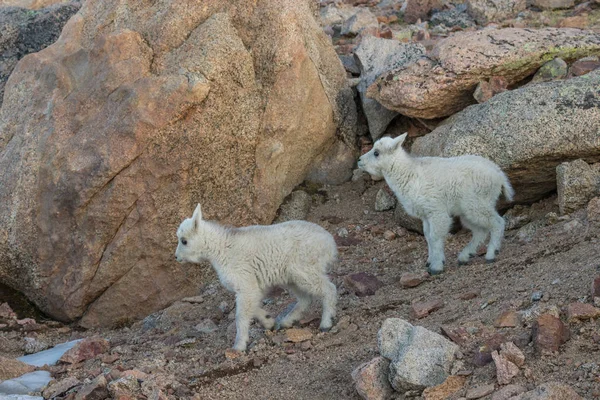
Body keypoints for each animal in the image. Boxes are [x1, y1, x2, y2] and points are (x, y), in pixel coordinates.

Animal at [176, 205, 340, 352]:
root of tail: (330, 243)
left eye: (184, 241)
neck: (221, 249)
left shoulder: (245, 282)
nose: (176, 257)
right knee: (306, 298)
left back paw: (326, 323)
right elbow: (253, 307)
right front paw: (268, 322)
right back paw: (286, 321)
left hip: (304, 269)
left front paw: (239, 346)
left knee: (329, 289)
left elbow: (241, 315)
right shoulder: (253, 287)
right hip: (292, 277)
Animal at [358, 134, 512, 276]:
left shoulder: (436, 210)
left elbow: (435, 236)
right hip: (469, 210)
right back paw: (465, 256)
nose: (359, 161)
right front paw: (431, 261)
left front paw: (436, 266)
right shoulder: (426, 215)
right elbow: (428, 236)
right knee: (480, 231)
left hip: (477, 203)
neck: (409, 173)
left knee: (497, 222)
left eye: (376, 153)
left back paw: (491, 254)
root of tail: (499, 175)